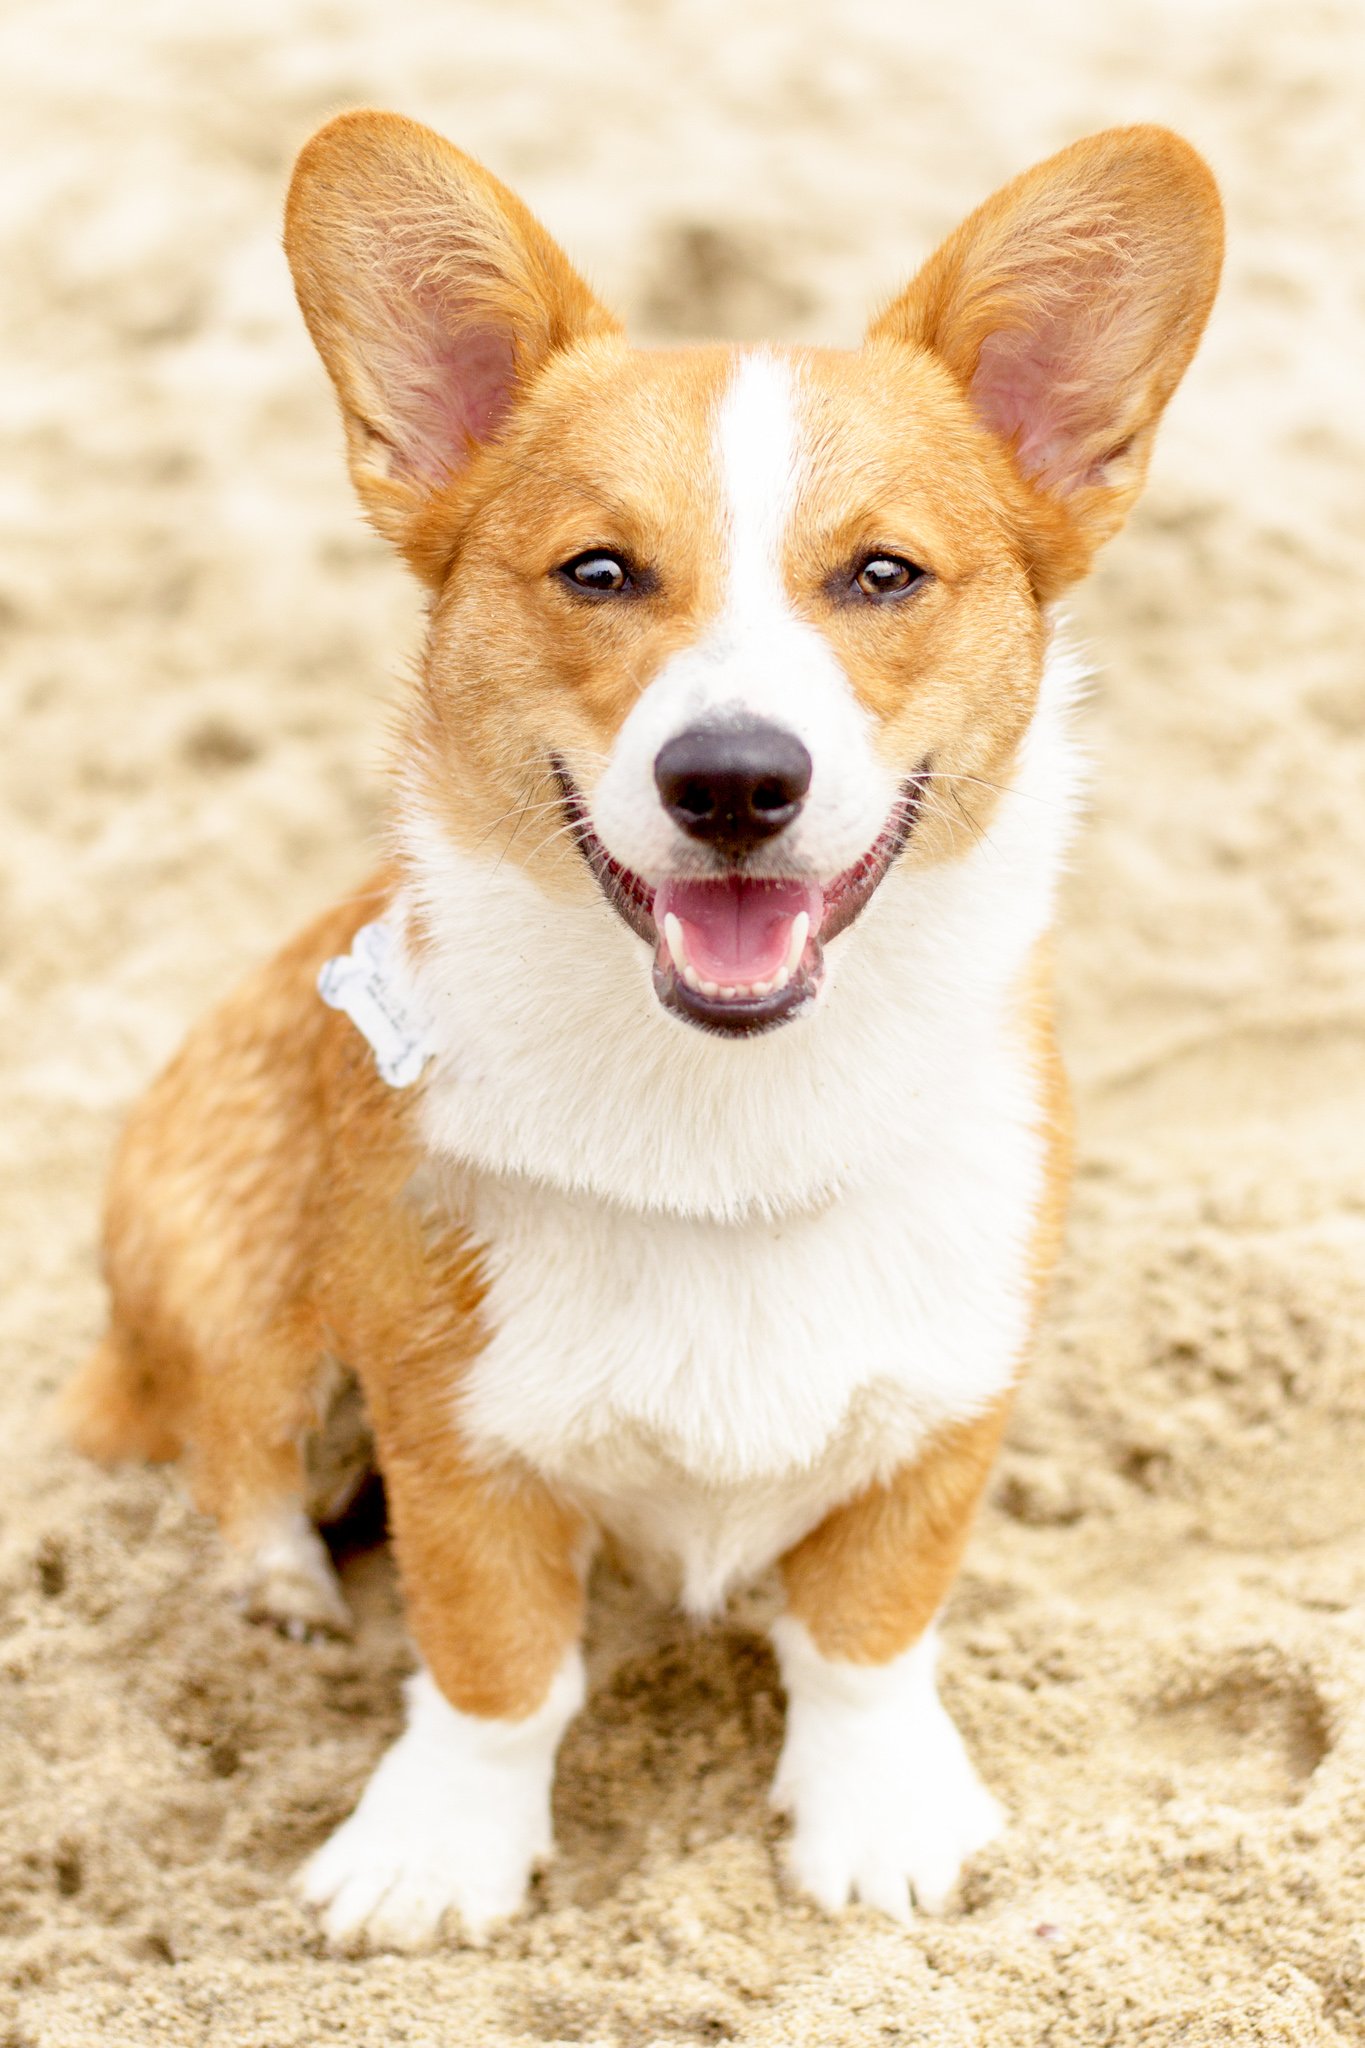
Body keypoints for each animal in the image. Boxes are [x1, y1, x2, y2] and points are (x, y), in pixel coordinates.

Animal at [63, 116, 1219, 1949]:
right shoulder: (457, 1437)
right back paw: (280, 1597)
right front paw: (437, 1849)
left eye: (881, 573)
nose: (734, 780)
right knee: (230, 1451)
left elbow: (869, 1630)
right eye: (599, 572)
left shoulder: (951, 1400)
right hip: (223, 1270)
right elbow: (495, 1669)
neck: (726, 1108)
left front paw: (877, 1811)